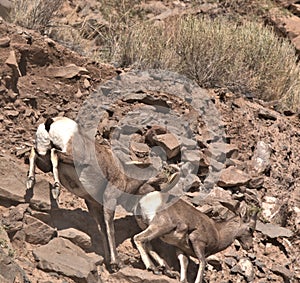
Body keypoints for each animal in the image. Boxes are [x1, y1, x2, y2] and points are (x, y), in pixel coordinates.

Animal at [26, 116, 161, 272]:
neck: (124, 176)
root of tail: (52, 123)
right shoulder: (109, 199)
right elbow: (110, 228)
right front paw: (116, 263)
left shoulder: (93, 205)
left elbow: (102, 229)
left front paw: (109, 262)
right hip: (70, 157)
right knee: (54, 153)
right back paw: (55, 189)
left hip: (44, 157)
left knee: (35, 152)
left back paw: (31, 181)